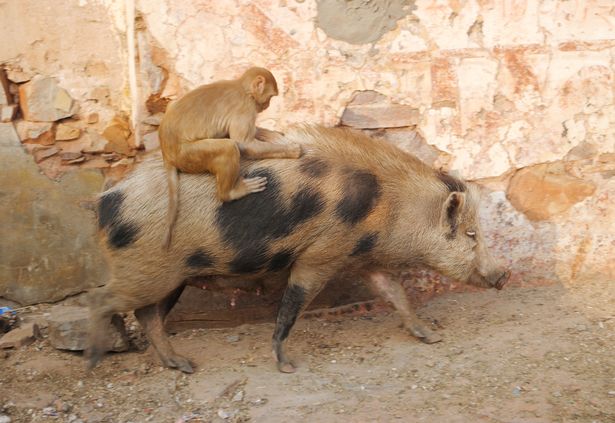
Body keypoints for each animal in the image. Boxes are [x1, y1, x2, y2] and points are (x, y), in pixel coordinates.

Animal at [86, 125, 510, 374]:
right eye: (471, 233)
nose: (503, 274)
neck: (390, 208)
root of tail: (105, 200)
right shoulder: (320, 254)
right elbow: (293, 305)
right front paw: (287, 365)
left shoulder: (362, 257)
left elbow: (395, 293)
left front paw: (430, 336)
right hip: (147, 269)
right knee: (103, 300)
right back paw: (93, 361)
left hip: (172, 275)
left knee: (148, 314)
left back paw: (183, 365)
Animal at [159, 67, 304, 248]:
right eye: (271, 97)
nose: (267, 105)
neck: (243, 89)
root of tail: (166, 152)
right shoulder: (246, 108)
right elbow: (244, 144)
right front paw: (292, 150)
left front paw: (273, 135)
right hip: (187, 156)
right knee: (228, 147)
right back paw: (230, 193)